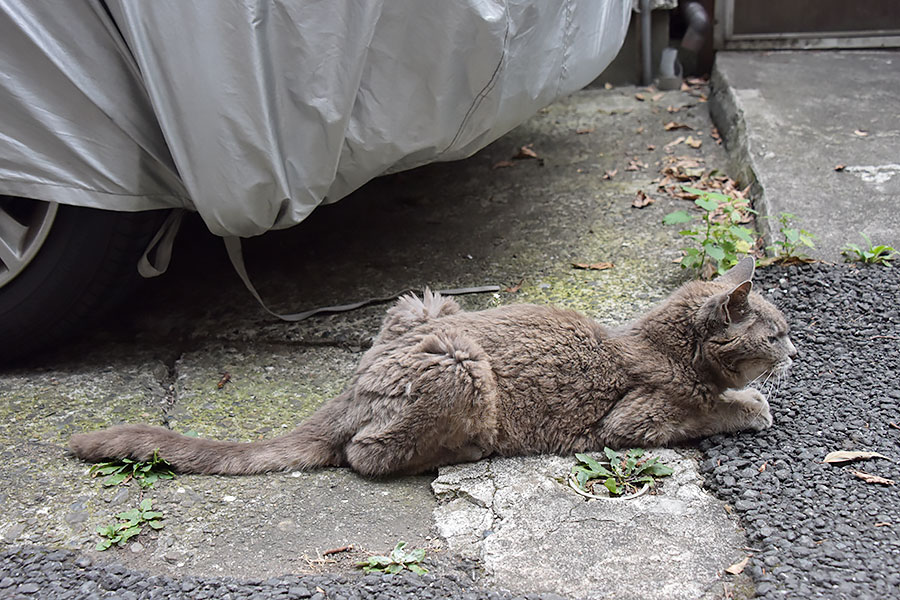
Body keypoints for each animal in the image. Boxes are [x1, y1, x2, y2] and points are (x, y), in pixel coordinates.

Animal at [74, 258, 800, 478]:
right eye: (777, 334)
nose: (797, 352)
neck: (662, 345)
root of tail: (354, 382)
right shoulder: (633, 419)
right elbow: (704, 411)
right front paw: (752, 406)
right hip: (461, 367)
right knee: (364, 454)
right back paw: (469, 450)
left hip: (425, 302)